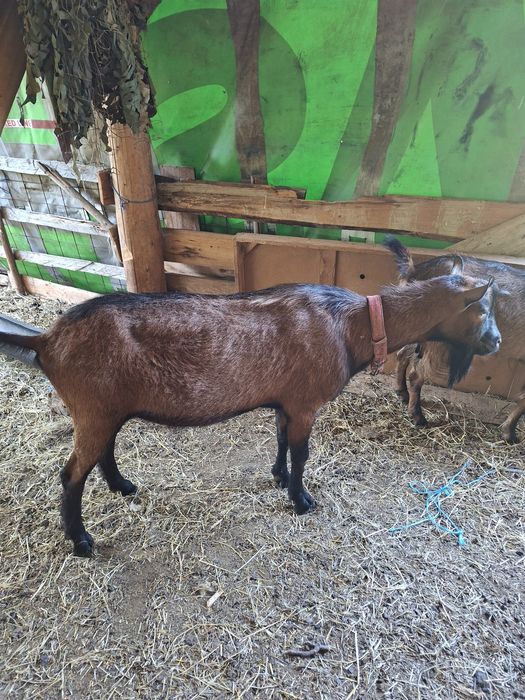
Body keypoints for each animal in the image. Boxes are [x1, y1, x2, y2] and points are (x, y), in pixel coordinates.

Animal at [0, 275, 500, 557]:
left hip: (106, 409)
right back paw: (81, 542)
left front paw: (278, 477)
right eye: (481, 309)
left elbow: (280, 439)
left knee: (103, 451)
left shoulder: (287, 400)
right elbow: (301, 453)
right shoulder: (305, 402)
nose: (495, 342)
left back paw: (122, 487)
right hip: (92, 407)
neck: (352, 324)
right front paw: (301, 499)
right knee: (70, 475)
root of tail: (47, 340)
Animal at [385, 236, 524, 442]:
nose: (498, 341)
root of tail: (415, 271)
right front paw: (509, 433)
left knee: (403, 354)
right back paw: (417, 416)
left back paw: (402, 393)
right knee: (417, 373)